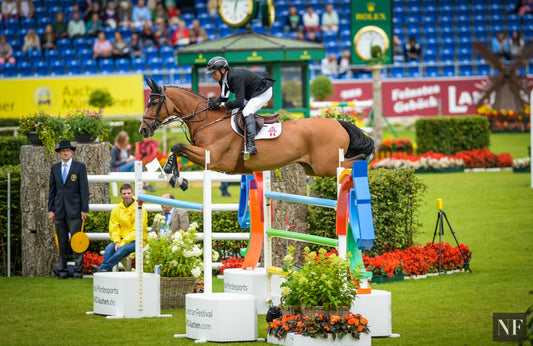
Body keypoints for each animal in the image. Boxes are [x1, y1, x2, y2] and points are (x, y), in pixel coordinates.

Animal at [140, 76, 374, 180]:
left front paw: (169, 170)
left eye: (153, 102)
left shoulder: (213, 157)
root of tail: (338, 123)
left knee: (357, 160)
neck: (208, 121)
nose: (143, 130)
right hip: (313, 168)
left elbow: (177, 146)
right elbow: (177, 148)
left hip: (327, 165)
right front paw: (174, 175)